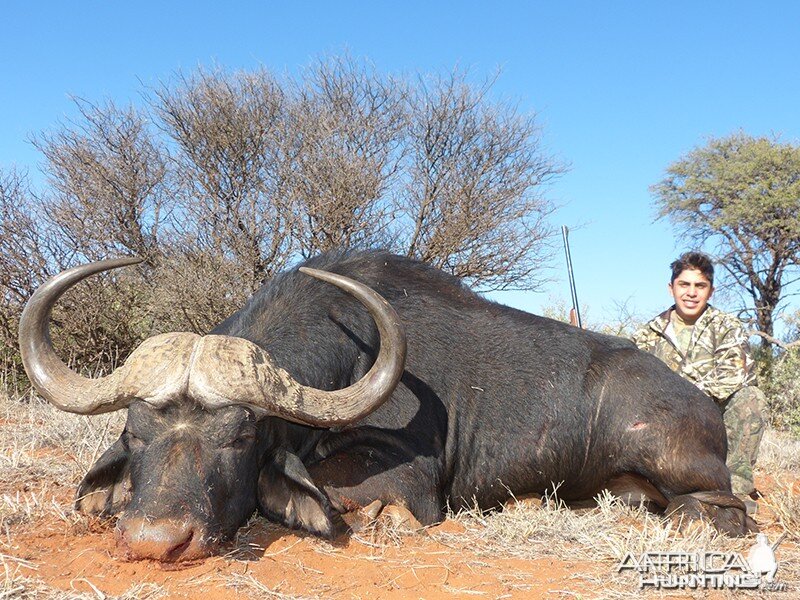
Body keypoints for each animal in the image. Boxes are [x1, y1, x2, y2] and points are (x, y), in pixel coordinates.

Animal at [20, 251, 756, 560]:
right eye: (135, 433)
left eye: (239, 436)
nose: (155, 542)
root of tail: (702, 405)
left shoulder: (412, 485)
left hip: (681, 468)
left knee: (725, 509)